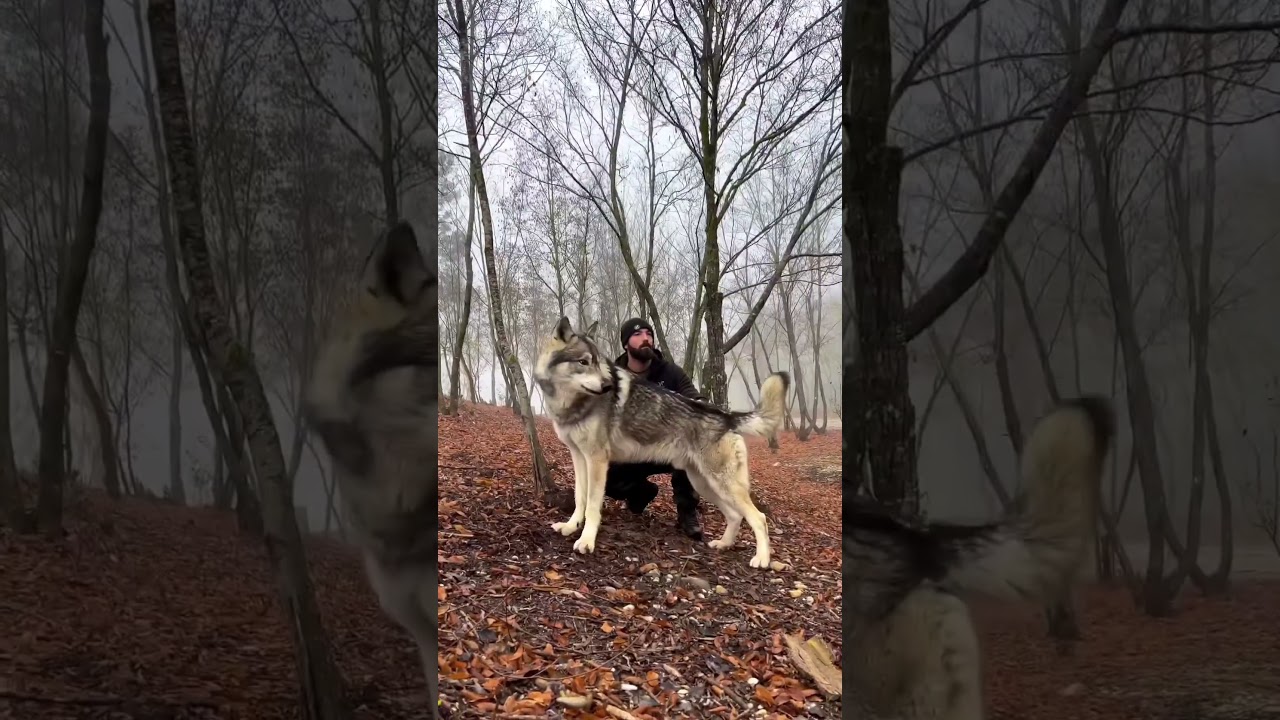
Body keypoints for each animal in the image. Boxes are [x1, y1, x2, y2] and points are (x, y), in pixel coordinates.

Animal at [532, 316, 789, 569]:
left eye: (596, 362)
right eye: (583, 362)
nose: (607, 386)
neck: (571, 404)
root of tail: (726, 416)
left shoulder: (596, 460)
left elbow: (593, 505)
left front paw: (586, 541)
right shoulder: (578, 457)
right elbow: (580, 498)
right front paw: (570, 527)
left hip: (721, 484)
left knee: (759, 518)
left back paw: (762, 559)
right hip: (704, 483)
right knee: (735, 516)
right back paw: (723, 544)